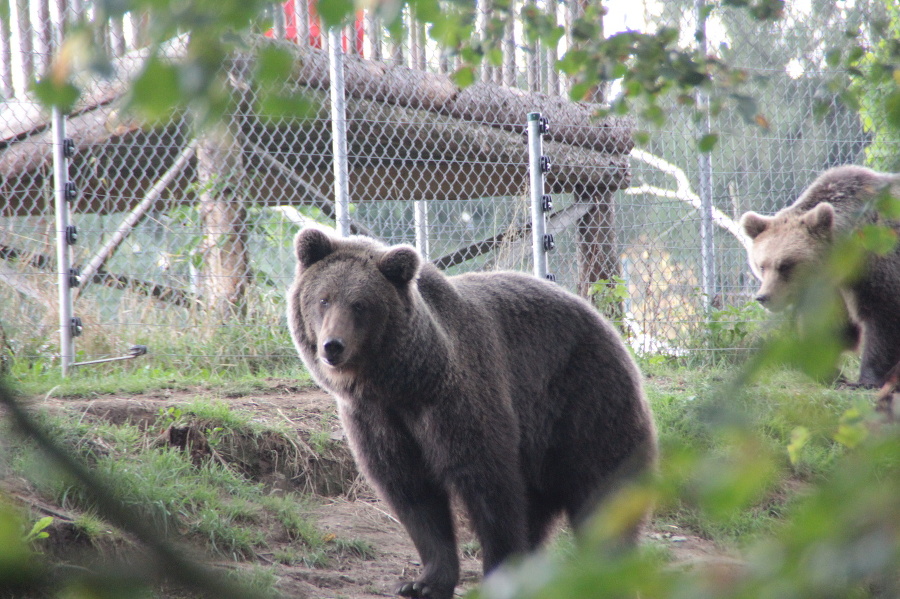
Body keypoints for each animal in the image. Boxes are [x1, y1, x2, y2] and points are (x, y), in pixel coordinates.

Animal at [284, 229, 656, 599]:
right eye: (324, 299)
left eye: (361, 304)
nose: (333, 346)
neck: (403, 383)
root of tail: (609, 328)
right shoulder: (376, 420)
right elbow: (413, 494)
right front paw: (422, 583)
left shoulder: (457, 403)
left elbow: (489, 488)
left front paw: (499, 575)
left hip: (585, 401)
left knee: (604, 494)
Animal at [740, 166, 900, 386]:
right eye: (762, 266)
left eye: (786, 265)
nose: (764, 297)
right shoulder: (830, 289)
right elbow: (832, 328)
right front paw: (830, 374)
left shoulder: (877, 260)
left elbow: (883, 313)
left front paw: (868, 377)